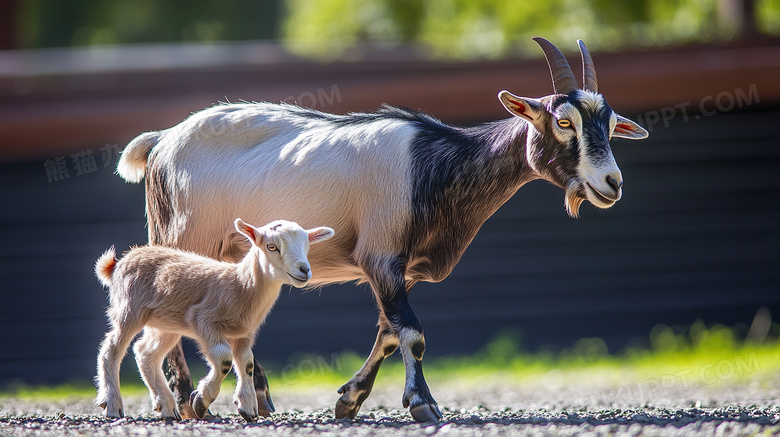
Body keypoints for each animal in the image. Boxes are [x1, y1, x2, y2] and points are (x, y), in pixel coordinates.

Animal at [93, 220, 334, 420]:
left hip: (166, 323)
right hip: (129, 308)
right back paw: (112, 405)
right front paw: (201, 401)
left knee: (145, 353)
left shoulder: (244, 332)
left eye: (307, 246)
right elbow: (224, 359)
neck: (242, 285)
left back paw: (167, 407)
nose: (304, 270)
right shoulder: (204, 321)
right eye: (271, 247)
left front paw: (248, 408)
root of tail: (120, 262)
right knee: (111, 349)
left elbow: (246, 362)